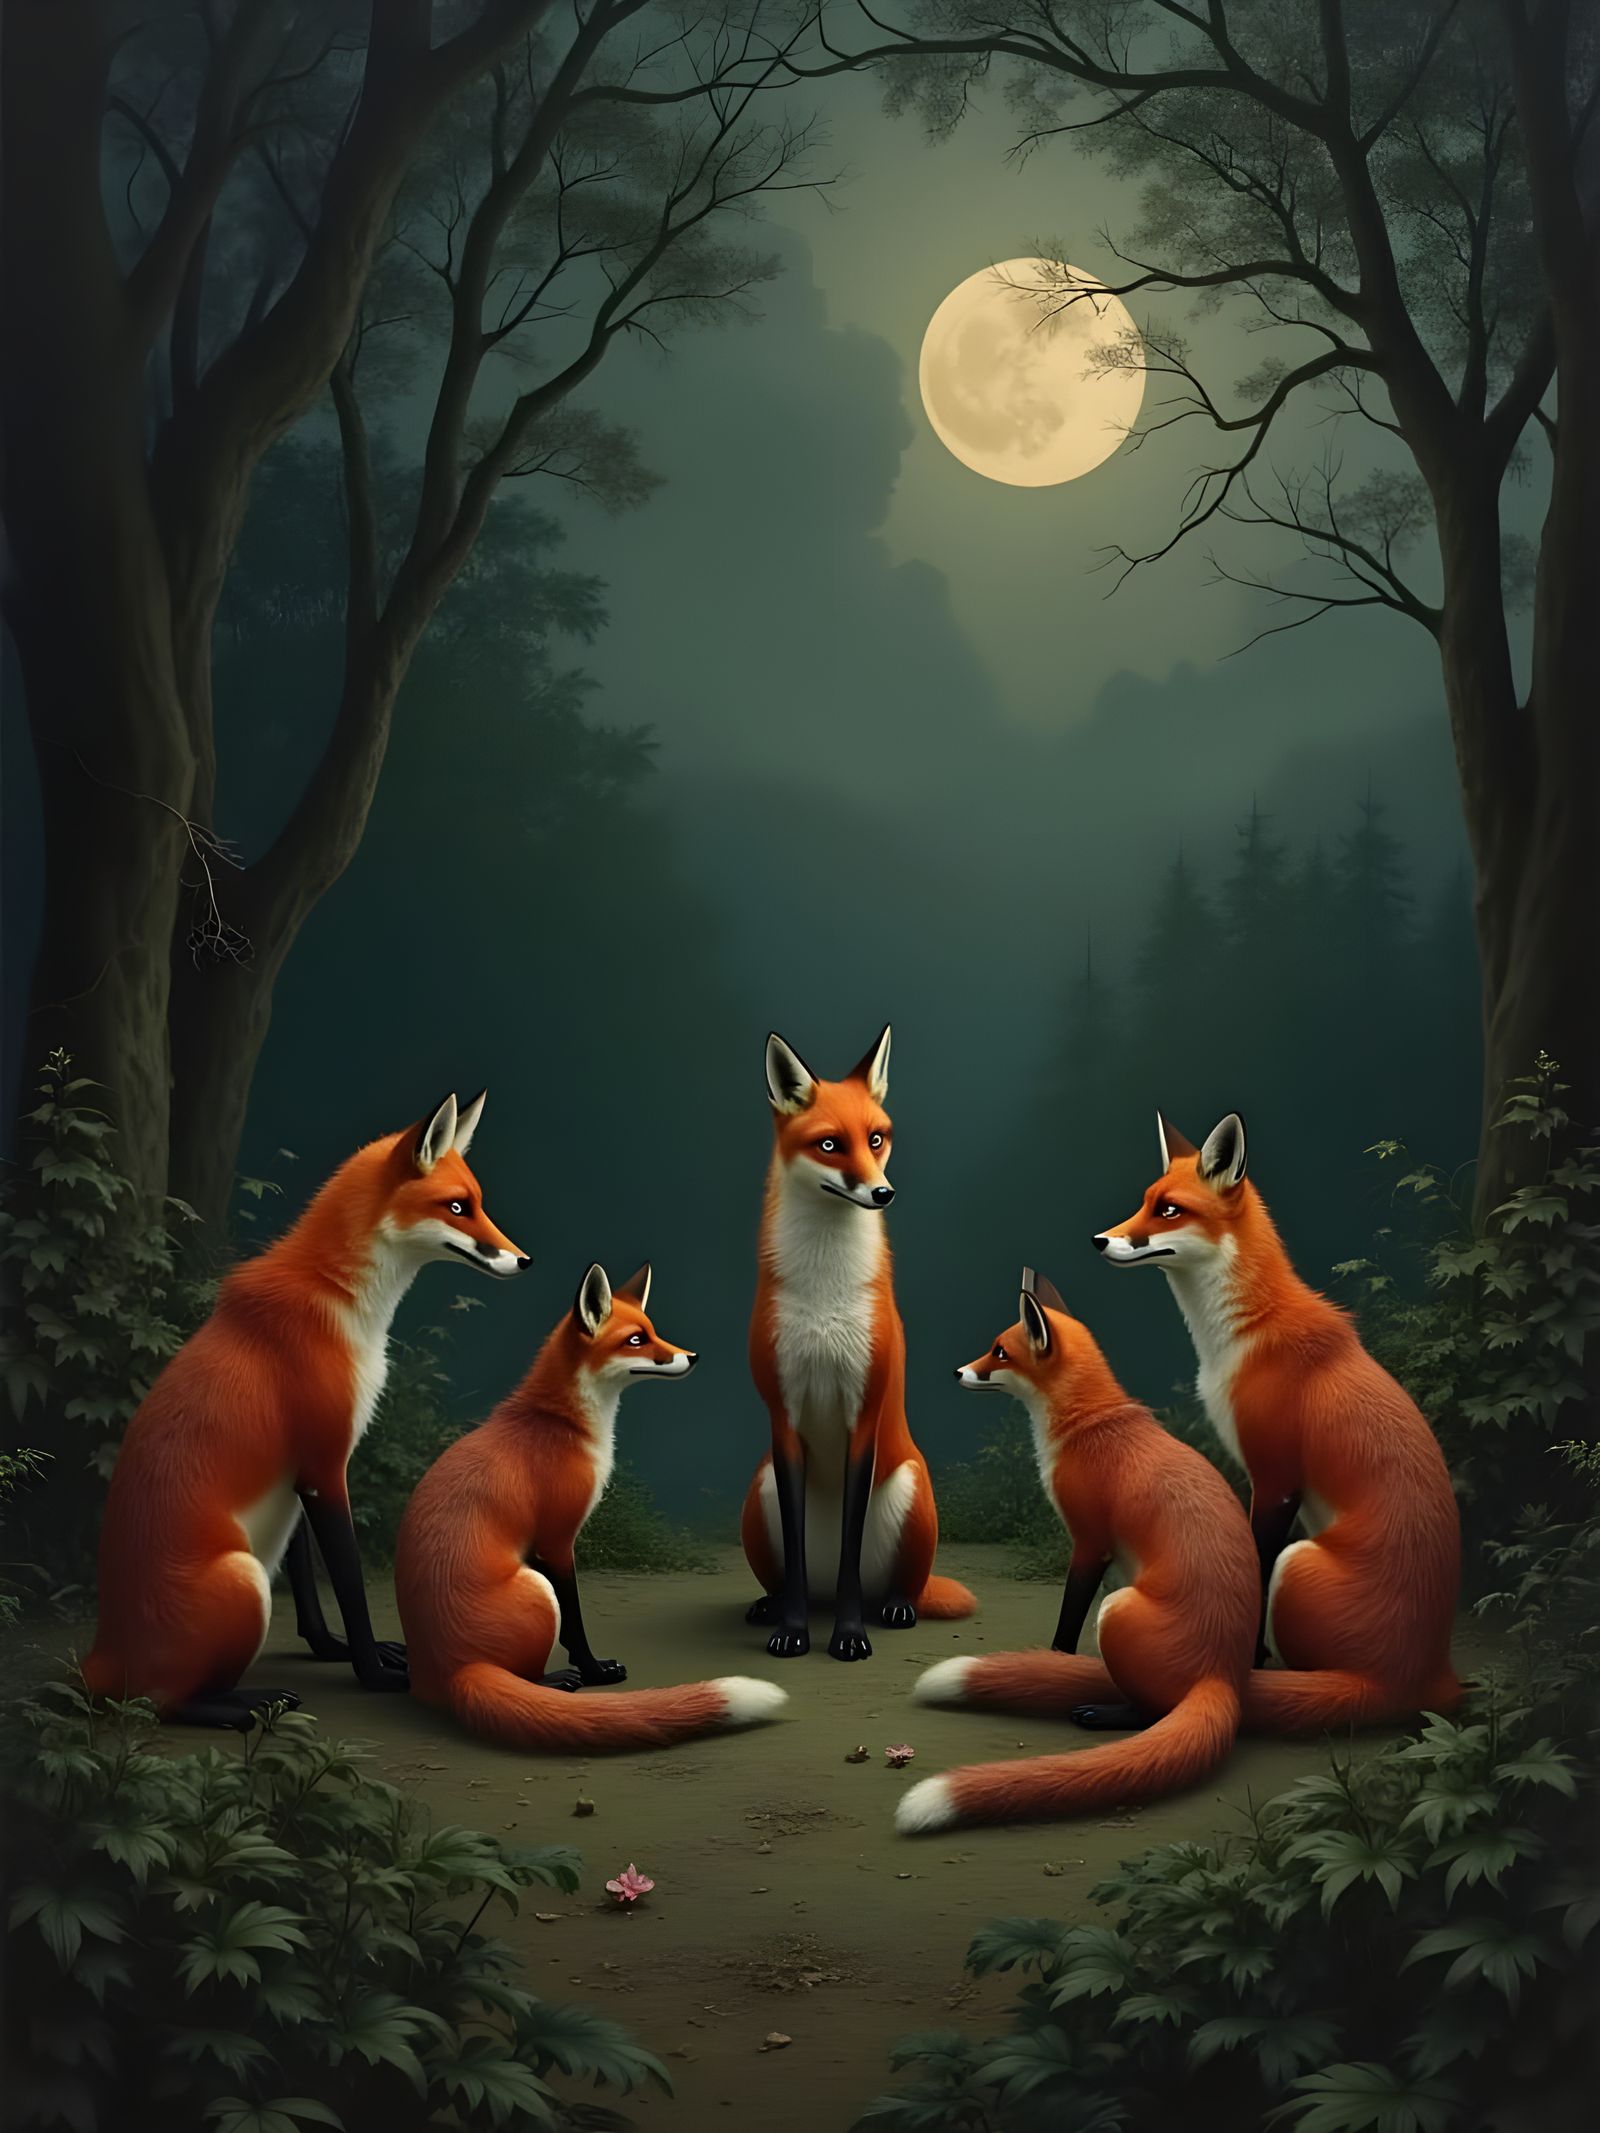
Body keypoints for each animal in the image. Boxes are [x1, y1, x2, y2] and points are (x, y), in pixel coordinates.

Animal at [81, 1092, 529, 1727]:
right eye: (457, 1207)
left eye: (479, 1203)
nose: (524, 1260)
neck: (346, 1309)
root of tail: (100, 1656)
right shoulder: (323, 1464)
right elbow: (348, 1582)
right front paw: (373, 1672)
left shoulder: (295, 1472)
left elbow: (309, 1587)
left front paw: (331, 1649)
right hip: (242, 1580)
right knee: (159, 1702)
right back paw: (245, 1704)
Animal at [395, 1261, 787, 1749]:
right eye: (636, 1340)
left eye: (652, 1330)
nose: (692, 1356)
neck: (562, 1424)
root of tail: (448, 1674)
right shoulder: (558, 1539)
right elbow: (576, 1623)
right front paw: (595, 1671)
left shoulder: (545, 1547)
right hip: (537, 1590)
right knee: (525, 1672)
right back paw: (553, 1681)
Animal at [741, 1026, 974, 1661]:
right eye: (829, 1145)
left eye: (875, 1138)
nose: (883, 1193)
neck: (826, 1291)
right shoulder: (783, 1417)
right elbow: (796, 1553)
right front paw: (792, 1631)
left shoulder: (863, 1415)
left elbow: (850, 1547)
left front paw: (848, 1636)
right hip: (759, 1488)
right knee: (796, 1573)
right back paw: (775, 1605)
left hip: (911, 1490)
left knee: (895, 1586)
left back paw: (892, 1608)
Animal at [897, 1271, 1259, 1834]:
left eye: (999, 1352)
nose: (957, 1371)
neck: (1087, 1426)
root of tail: (1224, 1673)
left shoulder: (1089, 1543)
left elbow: (1067, 1621)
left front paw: (1053, 1663)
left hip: (1117, 1610)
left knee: (1153, 1710)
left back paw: (1103, 1712)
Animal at [1093, 1111, 1462, 1730]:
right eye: (1146, 1201)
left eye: (1169, 1210)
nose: (1099, 1240)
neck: (1241, 1336)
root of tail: (1428, 1677)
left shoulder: (1274, 1478)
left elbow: (1256, 1569)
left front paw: (1247, 1662)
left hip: (1300, 1562)